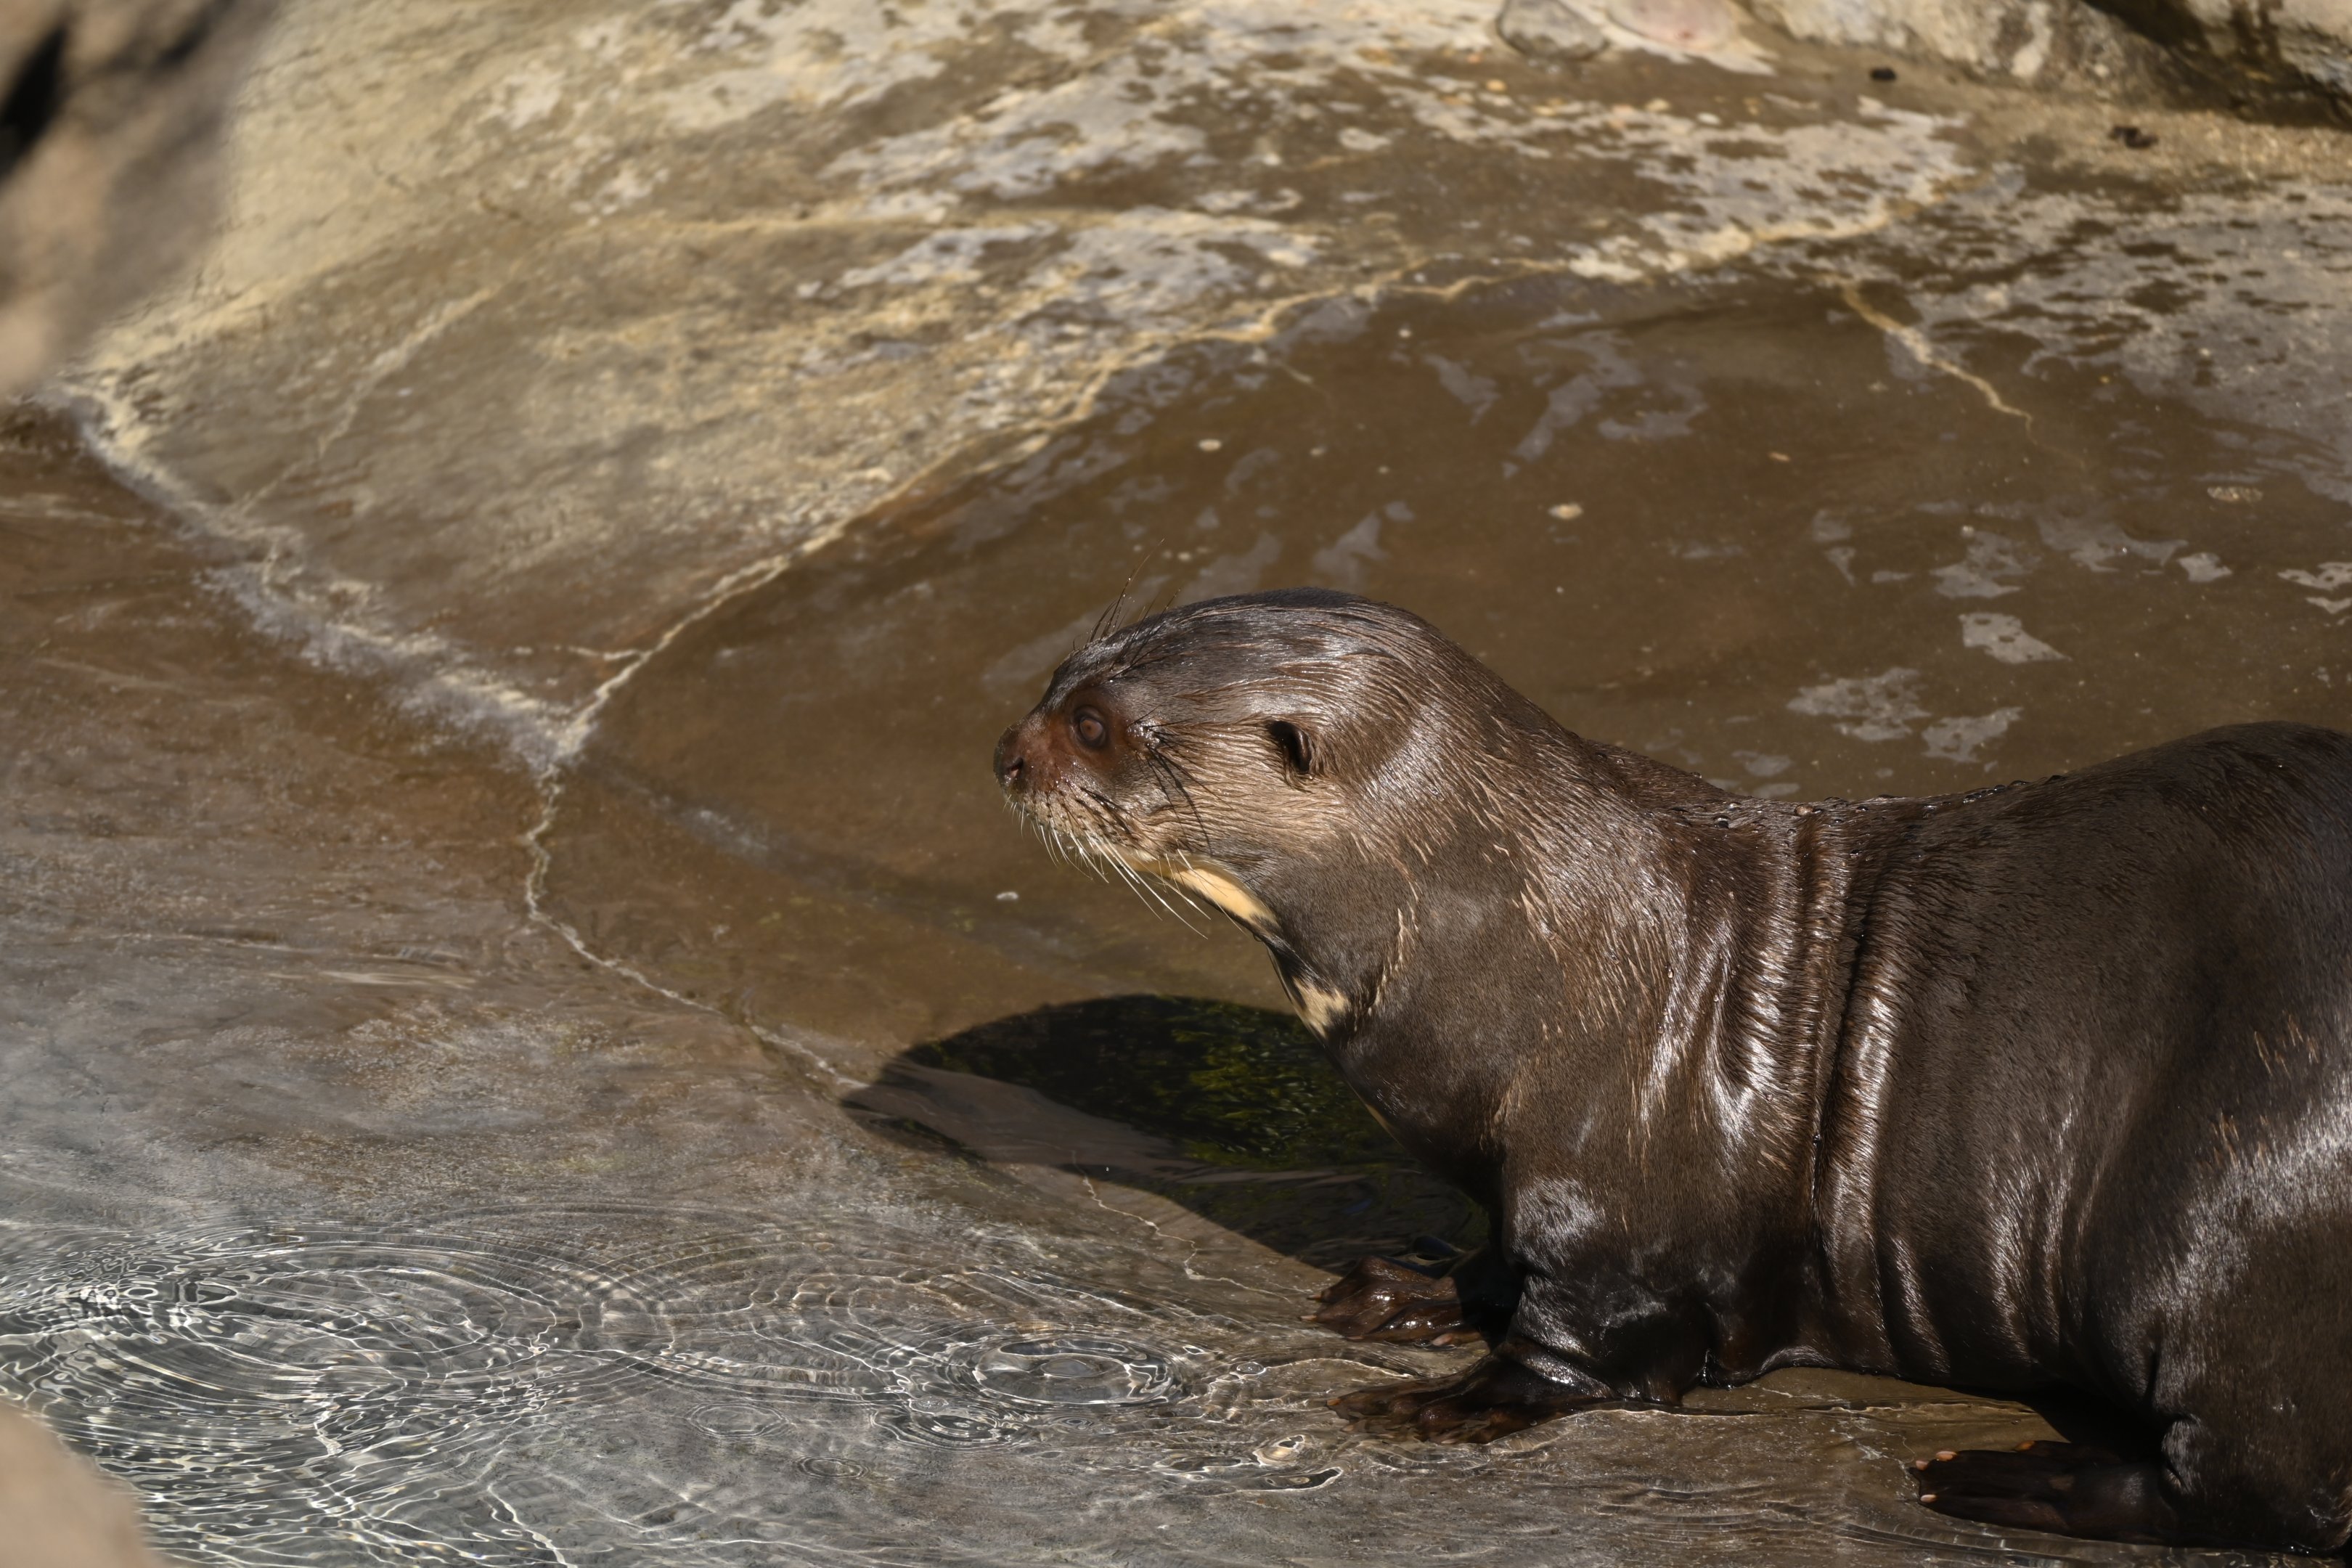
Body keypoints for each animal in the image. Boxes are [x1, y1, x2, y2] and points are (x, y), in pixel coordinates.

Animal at [992, 588, 2352, 1554]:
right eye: (1057, 678)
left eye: (1099, 729)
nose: (1007, 754)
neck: (1531, 958)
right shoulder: (1520, 1170)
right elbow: (1495, 1253)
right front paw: (1409, 1285)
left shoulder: (1618, 1193)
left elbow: (1598, 1343)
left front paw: (1448, 1401)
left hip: (2236, 1209)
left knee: (2264, 1483)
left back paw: (2000, 1479)